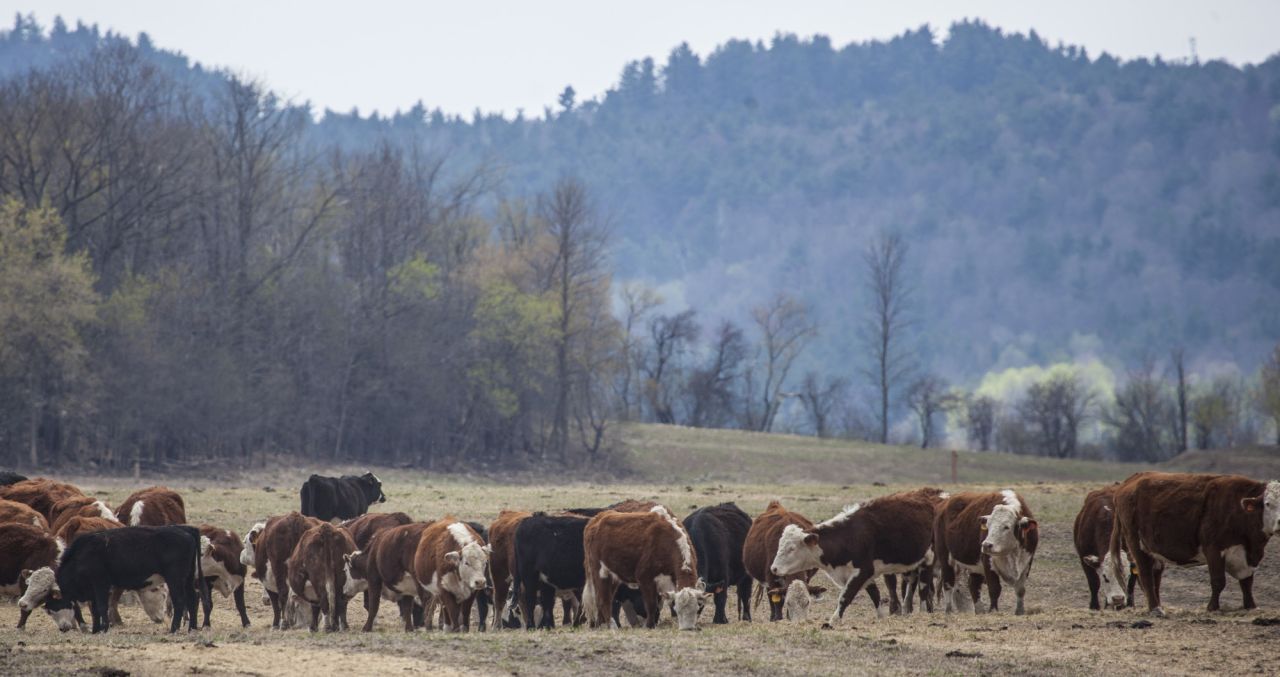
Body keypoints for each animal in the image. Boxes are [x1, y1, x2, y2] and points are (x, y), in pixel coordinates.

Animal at [48, 525, 205, 633]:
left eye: (54, 607)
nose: (63, 628)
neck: (82, 554)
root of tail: (186, 529)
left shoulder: (100, 583)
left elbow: (101, 606)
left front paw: (104, 628)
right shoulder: (93, 589)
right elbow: (95, 609)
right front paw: (96, 630)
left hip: (175, 578)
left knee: (180, 600)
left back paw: (174, 629)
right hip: (187, 578)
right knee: (193, 598)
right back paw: (192, 628)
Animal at [772, 489, 938, 626]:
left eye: (791, 548)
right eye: (780, 545)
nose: (774, 568)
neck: (849, 537)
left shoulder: (861, 571)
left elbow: (845, 596)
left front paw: (833, 621)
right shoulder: (865, 575)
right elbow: (875, 595)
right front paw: (881, 617)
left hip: (929, 559)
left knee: (924, 589)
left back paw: (924, 612)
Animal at [1110, 472, 1279, 615]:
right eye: (1268, 504)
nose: (1279, 522)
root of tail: (1132, 479)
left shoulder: (1250, 556)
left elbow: (1247, 582)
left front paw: (1251, 606)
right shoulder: (1213, 548)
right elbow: (1218, 581)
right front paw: (1212, 607)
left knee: (1155, 575)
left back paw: (1158, 605)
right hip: (1136, 543)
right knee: (1145, 574)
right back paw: (1155, 608)